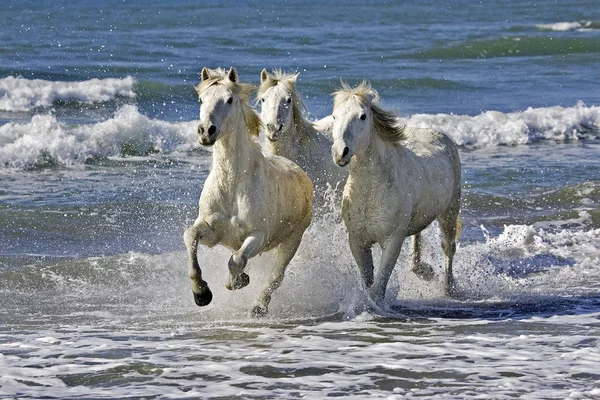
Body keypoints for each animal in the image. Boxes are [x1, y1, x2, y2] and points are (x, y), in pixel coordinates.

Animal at [183, 66, 314, 316]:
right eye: (201, 99)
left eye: (229, 99)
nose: (206, 132)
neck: (232, 184)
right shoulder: (212, 231)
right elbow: (191, 235)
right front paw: (201, 293)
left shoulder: (258, 235)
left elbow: (236, 260)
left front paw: (235, 282)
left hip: (292, 240)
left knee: (276, 276)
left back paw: (258, 307)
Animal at [330, 82, 462, 304]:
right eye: (334, 117)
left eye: (363, 116)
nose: (341, 152)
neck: (371, 190)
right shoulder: (357, 241)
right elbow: (368, 282)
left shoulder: (392, 241)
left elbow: (377, 288)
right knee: (418, 236)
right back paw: (423, 271)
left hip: (449, 212)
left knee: (448, 247)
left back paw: (449, 289)